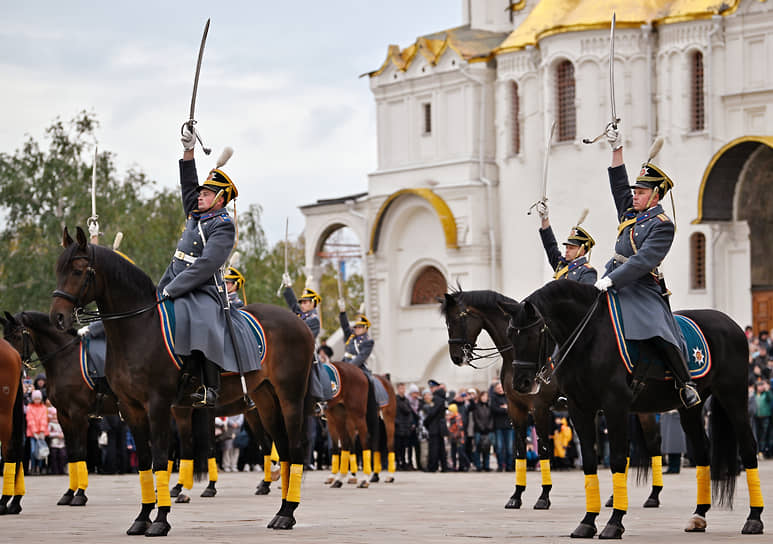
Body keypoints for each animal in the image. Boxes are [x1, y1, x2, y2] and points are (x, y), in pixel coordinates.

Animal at [49, 226, 314, 536]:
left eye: (78, 270)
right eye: (58, 269)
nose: (58, 317)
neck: (138, 329)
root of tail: (299, 323)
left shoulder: (158, 405)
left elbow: (161, 460)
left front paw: (161, 520)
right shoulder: (130, 407)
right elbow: (144, 462)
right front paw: (142, 517)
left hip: (290, 398)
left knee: (294, 449)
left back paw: (288, 511)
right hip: (264, 399)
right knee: (282, 451)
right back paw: (282, 512)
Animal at [444, 292, 668, 512]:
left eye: (456, 319)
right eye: (446, 322)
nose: (456, 357)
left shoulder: (540, 408)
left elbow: (543, 449)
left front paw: (544, 496)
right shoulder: (515, 407)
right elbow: (519, 451)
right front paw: (516, 495)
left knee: (653, 443)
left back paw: (654, 495)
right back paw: (616, 497)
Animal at [500, 280, 760, 540]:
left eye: (534, 334)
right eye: (510, 334)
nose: (521, 383)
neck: (588, 338)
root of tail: (729, 322)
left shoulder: (614, 405)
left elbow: (617, 459)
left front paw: (614, 522)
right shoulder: (578, 408)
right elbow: (589, 462)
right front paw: (587, 521)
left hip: (733, 396)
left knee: (748, 447)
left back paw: (754, 518)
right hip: (690, 409)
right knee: (702, 451)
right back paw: (699, 515)